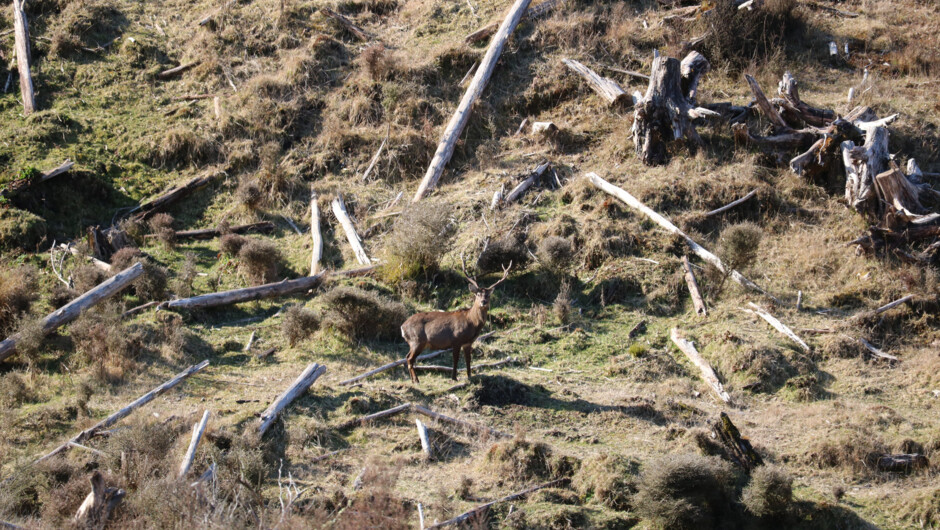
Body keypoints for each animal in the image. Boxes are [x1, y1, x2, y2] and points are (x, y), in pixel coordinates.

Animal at [401, 255, 511, 384]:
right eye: (478, 294)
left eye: (488, 295)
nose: (483, 302)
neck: (471, 322)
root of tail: (402, 327)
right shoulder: (456, 339)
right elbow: (456, 359)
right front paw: (454, 377)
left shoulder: (468, 343)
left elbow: (468, 360)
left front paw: (470, 376)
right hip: (417, 340)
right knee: (410, 359)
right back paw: (416, 380)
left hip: (414, 342)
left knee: (407, 357)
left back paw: (413, 380)